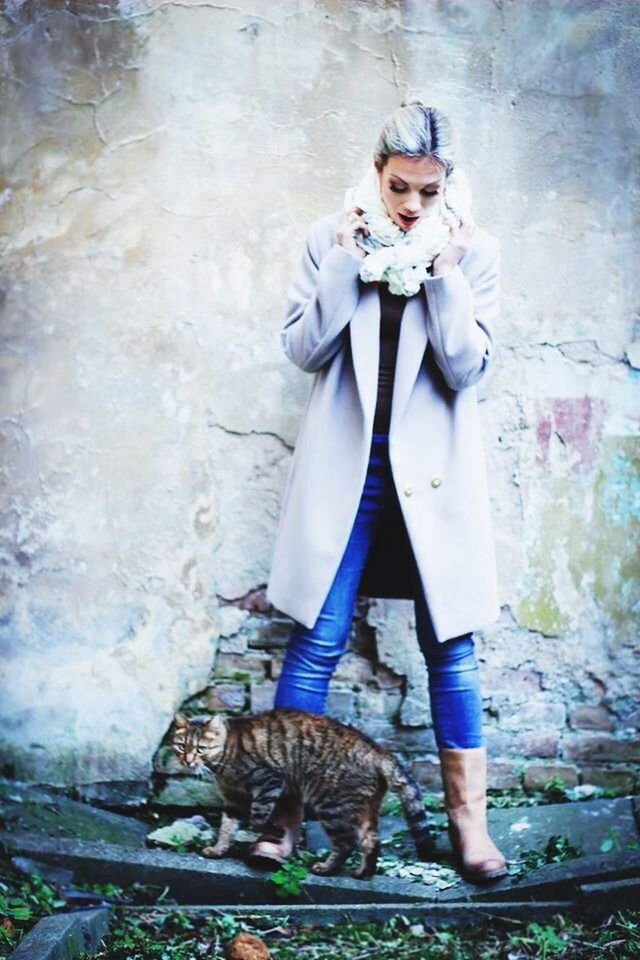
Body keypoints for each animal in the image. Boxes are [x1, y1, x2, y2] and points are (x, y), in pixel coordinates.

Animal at [170, 704, 436, 876]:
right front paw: (218, 849)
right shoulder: (232, 800)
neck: (223, 761)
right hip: (363, 809)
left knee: (346, 843)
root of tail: (377, 750)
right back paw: (363, 873)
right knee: (371, 841)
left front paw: (274, 830)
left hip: (332, 806)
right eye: (181, 746)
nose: (188, 760)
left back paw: (325, 868)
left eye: (200, 748)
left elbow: (258, 818)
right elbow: (226, 828)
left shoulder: (269, 780)